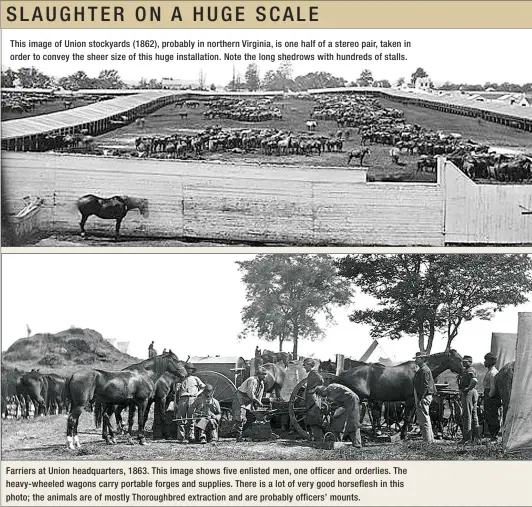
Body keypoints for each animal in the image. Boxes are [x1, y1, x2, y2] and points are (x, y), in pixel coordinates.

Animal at [336, 352, 466, 438]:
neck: (418, 370)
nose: (465, 371)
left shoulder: (414, 401)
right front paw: (403, 435)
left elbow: (410, 417)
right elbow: (407, 417)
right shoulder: (410, 400)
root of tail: (344, 373)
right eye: (458, 358)